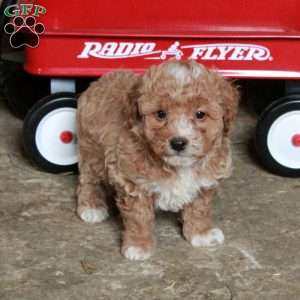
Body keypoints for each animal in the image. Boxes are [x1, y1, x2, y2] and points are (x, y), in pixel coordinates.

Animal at [77, 61, 239, 260]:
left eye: (200, 114)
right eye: (161, 114)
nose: (178, 142)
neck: (177, 166)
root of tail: (103, 79)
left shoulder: (205, 182)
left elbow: (200, 208)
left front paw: (201, 233)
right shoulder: (134, 182)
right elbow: (139, 216)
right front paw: (138, 245)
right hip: (91, 150)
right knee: (89, 180)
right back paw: (91, 206)